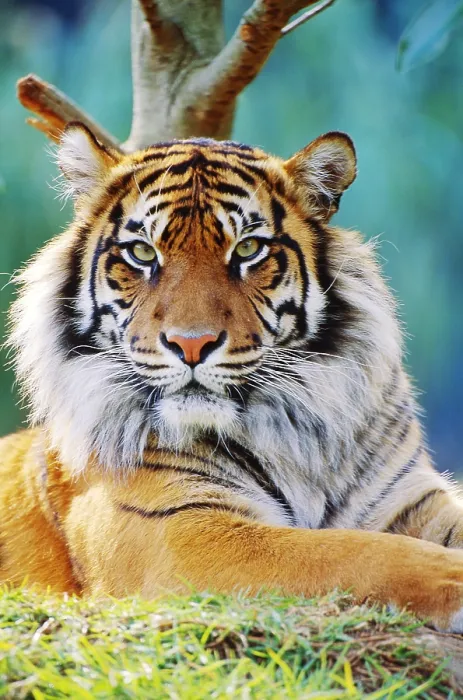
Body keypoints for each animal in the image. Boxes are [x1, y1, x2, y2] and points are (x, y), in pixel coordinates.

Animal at [1, 123, 463, 632]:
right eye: (142, 253)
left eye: (247, 249)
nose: (191, 344)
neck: (296, 430)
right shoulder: (177, 530)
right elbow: (350, 552)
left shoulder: (413, 497)